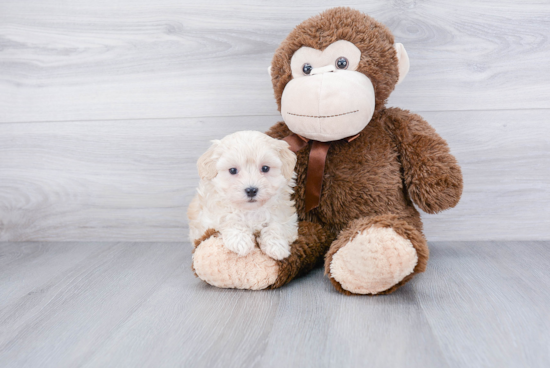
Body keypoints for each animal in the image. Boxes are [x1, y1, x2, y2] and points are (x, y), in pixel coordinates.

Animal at [190, 131, 302, 260]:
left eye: (265, 168)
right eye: (233, 170)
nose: (251, 190)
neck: (250, 210)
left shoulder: (286, 218)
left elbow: (276, 225)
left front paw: (276, 246)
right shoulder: (208, 220)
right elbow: (228, 219)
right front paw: (241, 241)